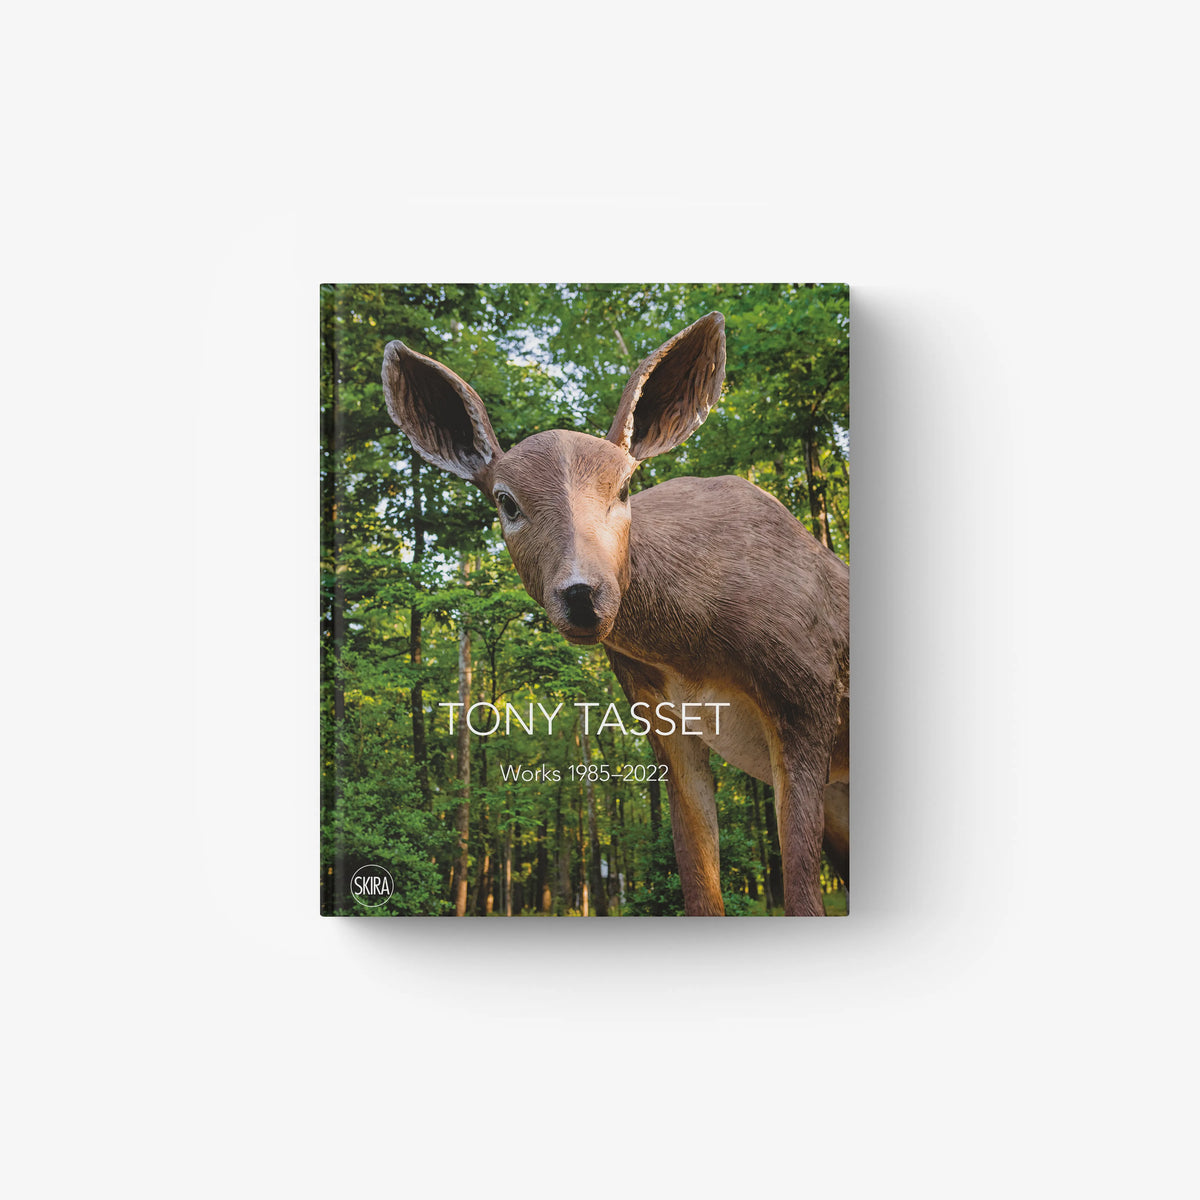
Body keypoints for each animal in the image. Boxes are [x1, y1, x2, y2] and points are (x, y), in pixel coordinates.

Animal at [382, 312, 849, 916]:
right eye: (506, 501)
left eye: (625, 487)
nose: (582, 593)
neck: (696, 646)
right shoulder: (661, 714)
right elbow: (699, 879)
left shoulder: (808, 689)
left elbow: (802, 895)